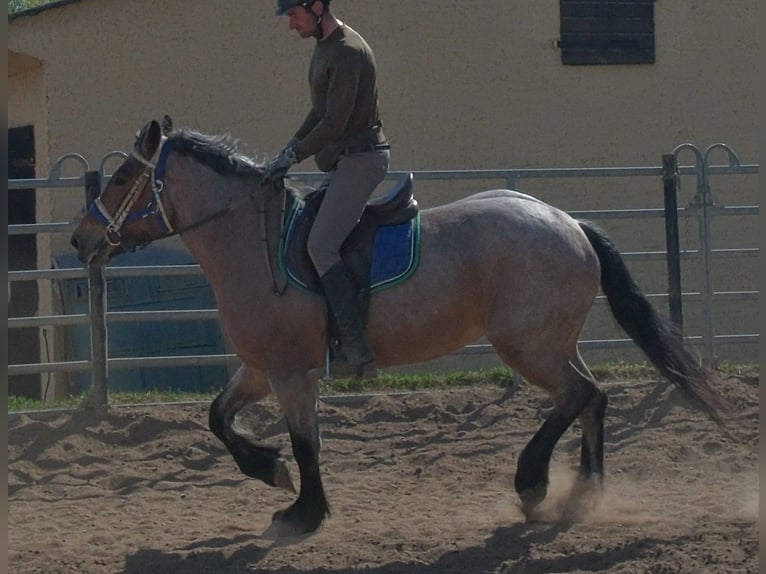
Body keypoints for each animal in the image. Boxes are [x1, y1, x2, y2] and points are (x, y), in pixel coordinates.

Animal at [70, 117, 728, 538]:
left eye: (124, 177)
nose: (80, 239)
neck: (251, 243)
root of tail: (569, 222)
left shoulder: (289, 372)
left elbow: (306, 442)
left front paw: (303, 511)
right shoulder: (259, 369)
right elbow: (217, 418)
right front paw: (270, 471)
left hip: (527, 347)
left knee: (580, 395)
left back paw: (534, 482)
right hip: (552, 342)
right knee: (594, 399)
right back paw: (584, 494)